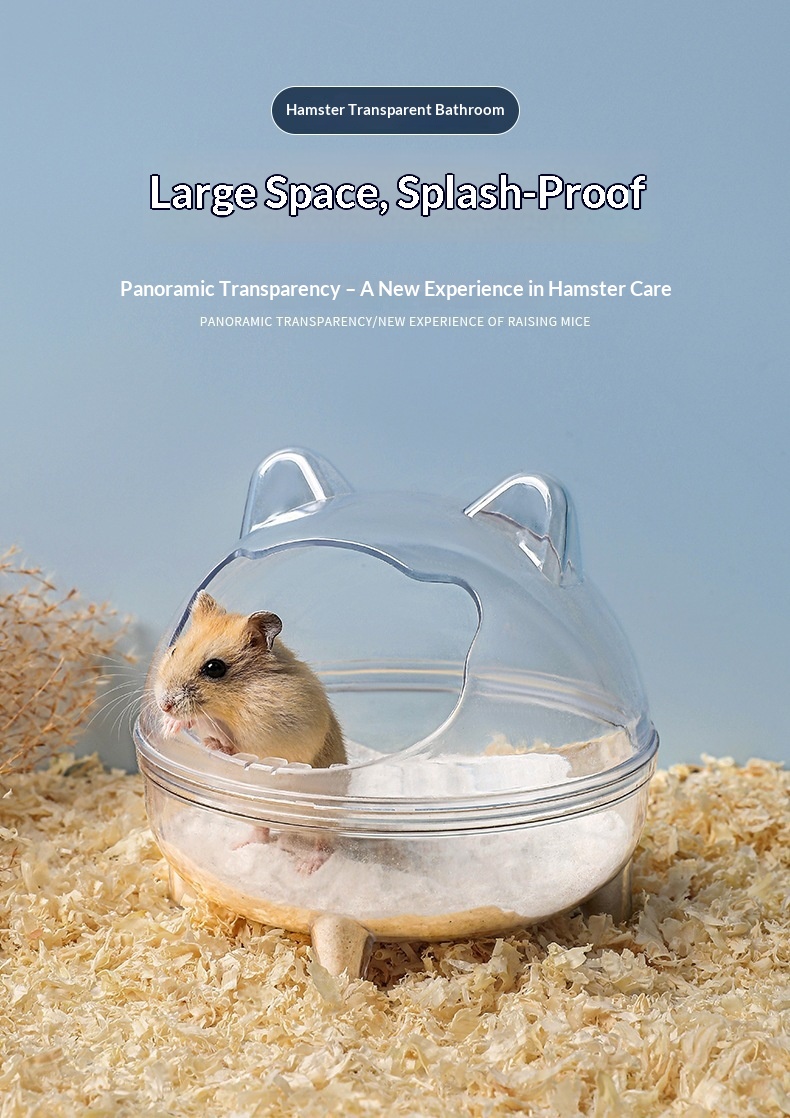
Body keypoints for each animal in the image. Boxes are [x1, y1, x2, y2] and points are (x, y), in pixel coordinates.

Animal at [154, 590, 346, 768]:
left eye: (214, 668)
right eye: (174, 651)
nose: (164, 706)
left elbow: (227, 738)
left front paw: (212, 744)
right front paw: (168, 726)